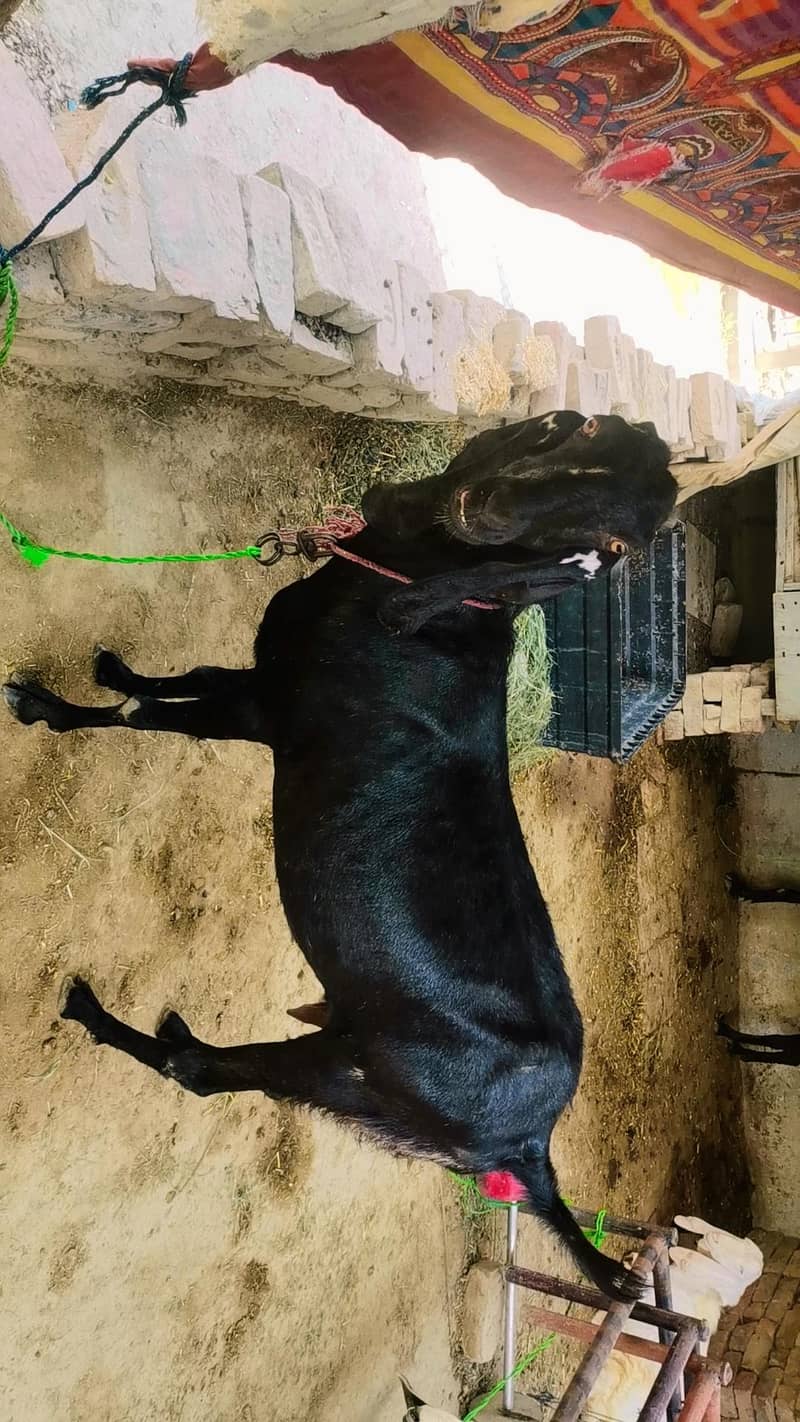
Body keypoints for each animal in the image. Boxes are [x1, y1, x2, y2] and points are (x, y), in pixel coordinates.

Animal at [3, 411, 677, 1301]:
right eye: (582, 425)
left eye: (606, 548)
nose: (488, 507)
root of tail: (531, 1150)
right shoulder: (262, 683)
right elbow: (185, 677)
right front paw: (115, 669)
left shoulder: (271, 708)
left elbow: (146, 718)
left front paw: (43, 706)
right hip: (367, 1098)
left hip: (347, 1066)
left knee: (199, 1071)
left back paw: (95, 1013)